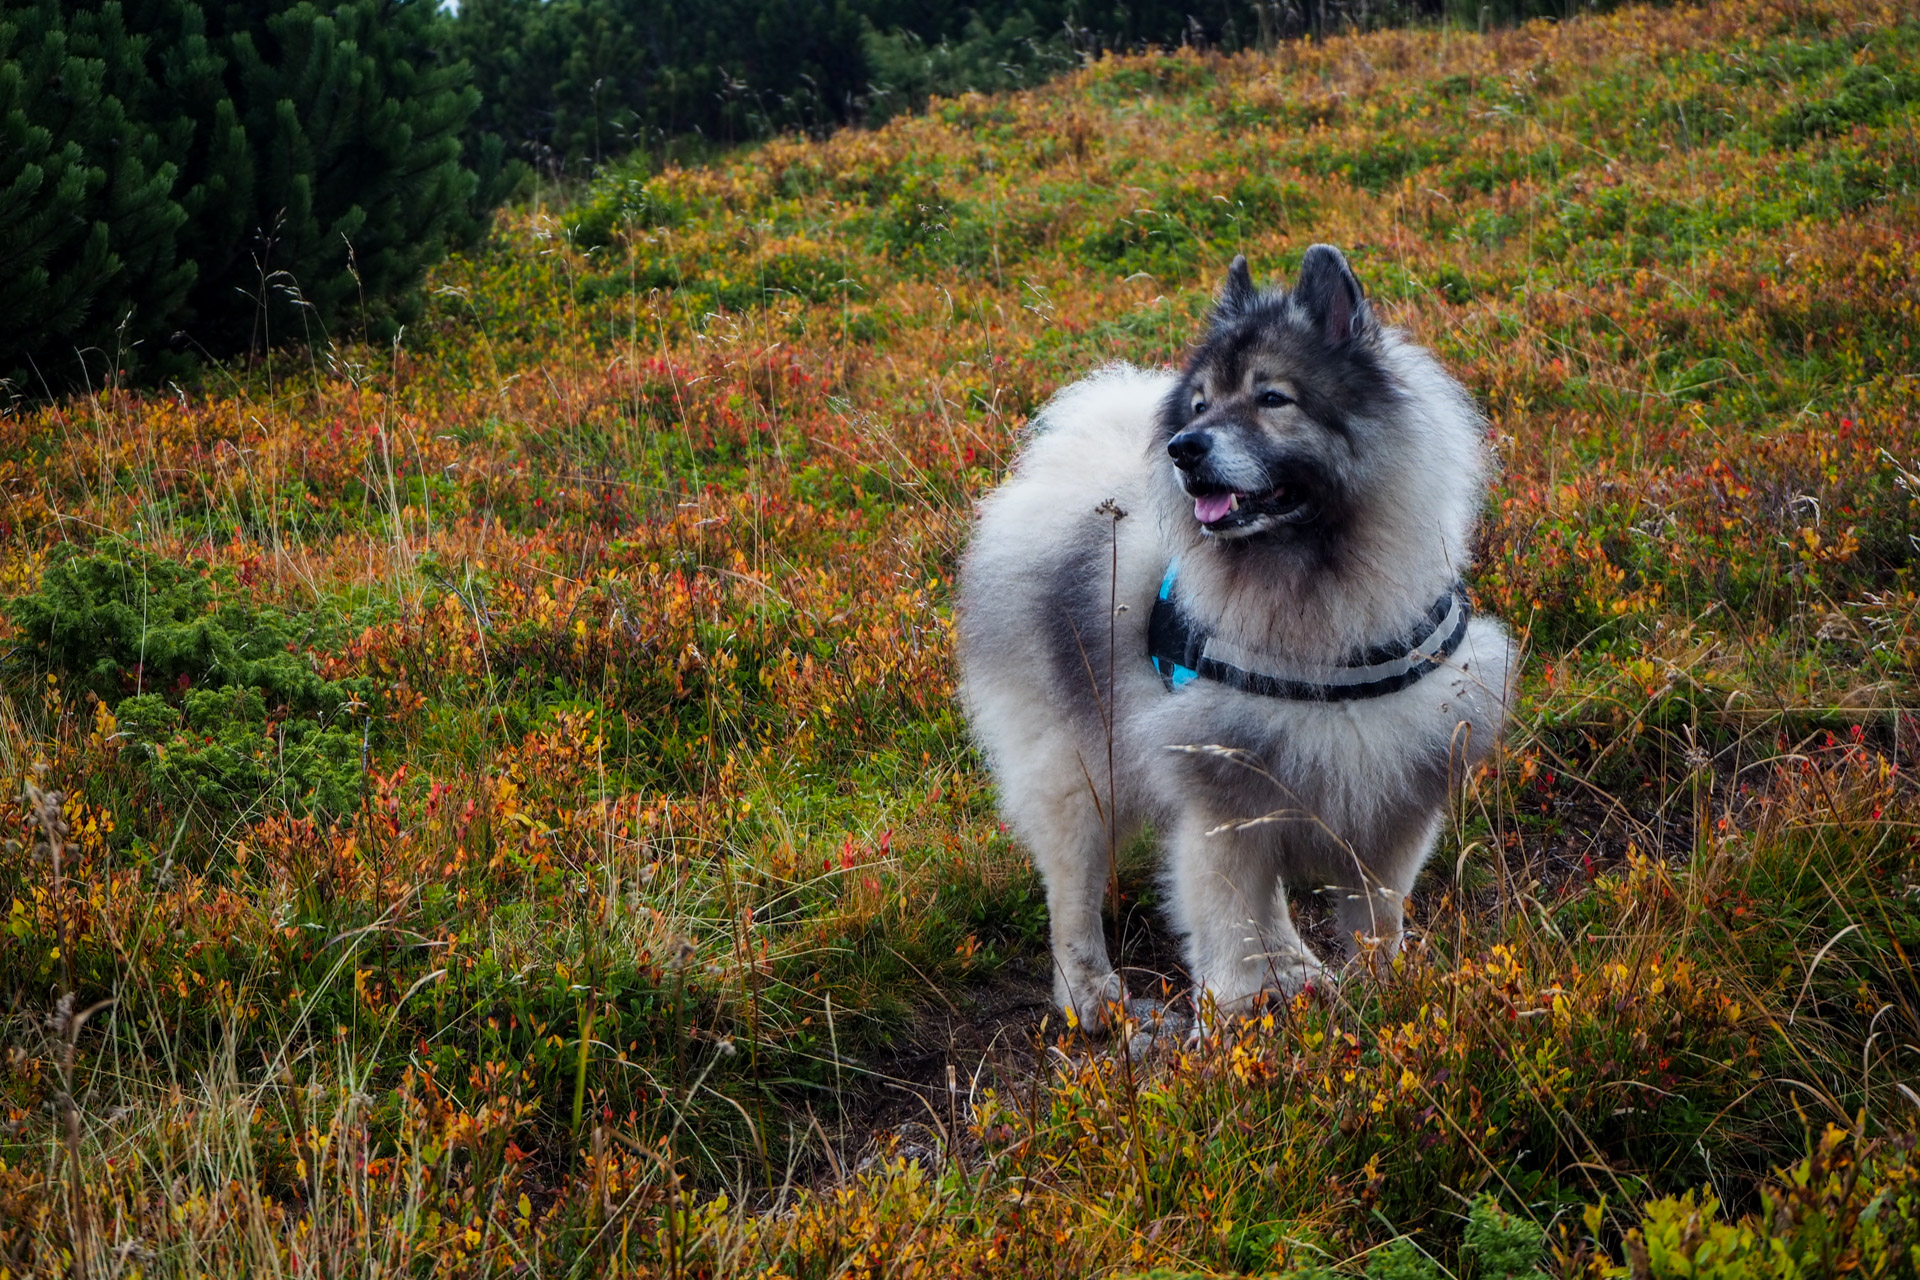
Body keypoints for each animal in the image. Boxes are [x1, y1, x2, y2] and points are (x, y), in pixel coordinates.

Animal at [960, 247, 1512, 1028]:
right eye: (1199, 406)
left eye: (1272, 398)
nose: (1182, 448)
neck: (1322, 609)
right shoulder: (1223, 786)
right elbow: (1228, 916)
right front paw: (1243, 1005)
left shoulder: (1390, 791)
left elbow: (1376, 918)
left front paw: (1384, 992)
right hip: (1077, 774)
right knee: (1072, 896)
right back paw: (1091, 996)